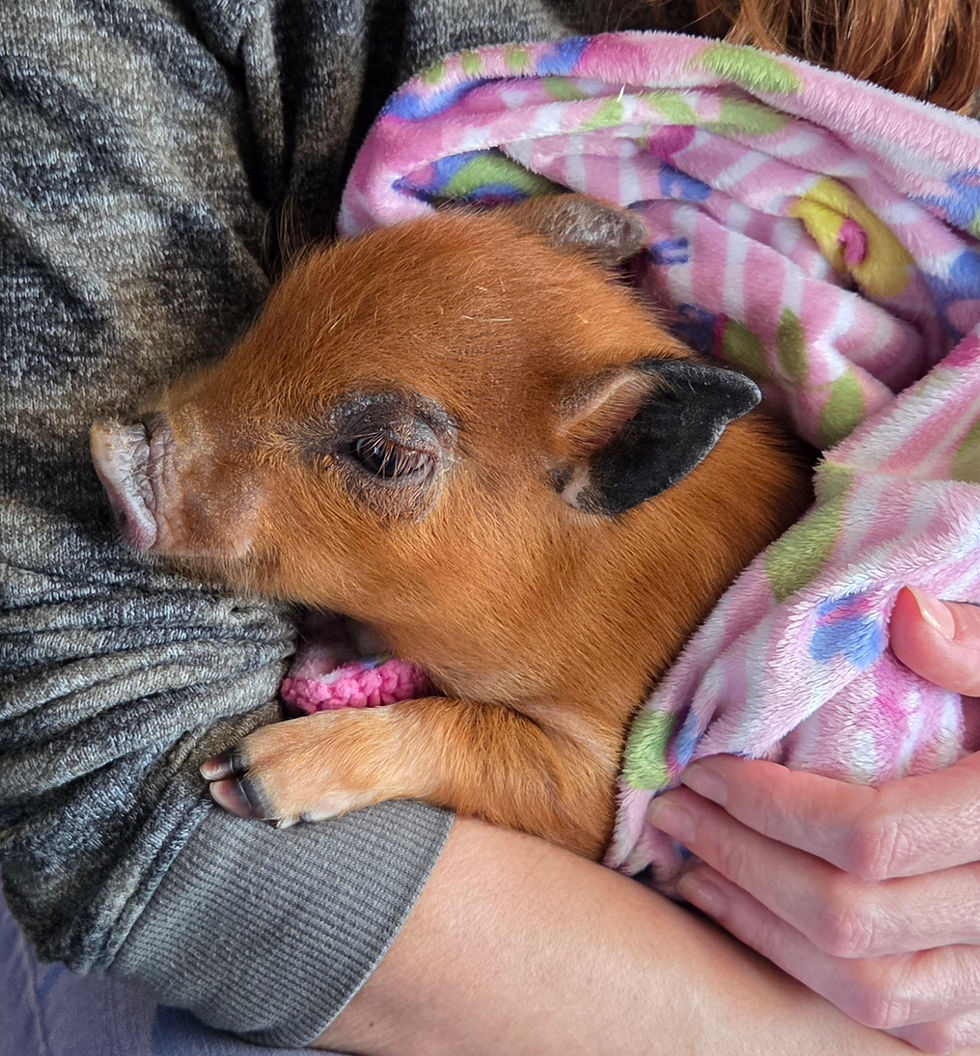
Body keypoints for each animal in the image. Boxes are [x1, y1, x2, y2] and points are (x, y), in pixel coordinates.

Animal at [91, 196, 811, 860]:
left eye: (385, 455)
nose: (105, 448)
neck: (572, 586)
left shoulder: (614, 786)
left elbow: (475, 734)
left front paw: (237, 776)